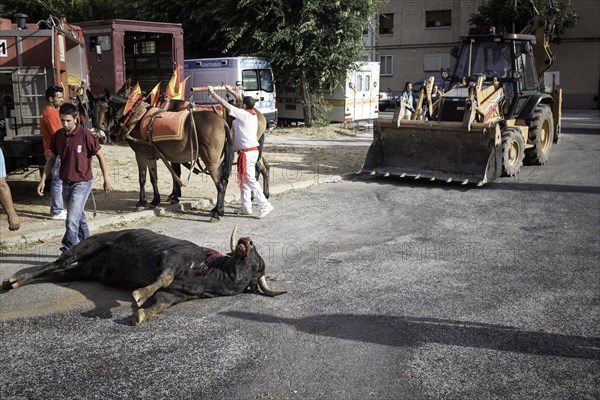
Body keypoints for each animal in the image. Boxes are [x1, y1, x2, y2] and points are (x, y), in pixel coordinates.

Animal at [1, 225, 286, 324]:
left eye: (258, 266)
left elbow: (159, 303)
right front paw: (138, 294)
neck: (212, 273)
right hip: (90, 244)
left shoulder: (175, 295)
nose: (247, 241)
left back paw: (16, 281)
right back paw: (14, 279)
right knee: (56, 263)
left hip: (84, 270)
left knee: (57, 273)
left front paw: (140, 314)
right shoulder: (172, 259)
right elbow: (163, 278)